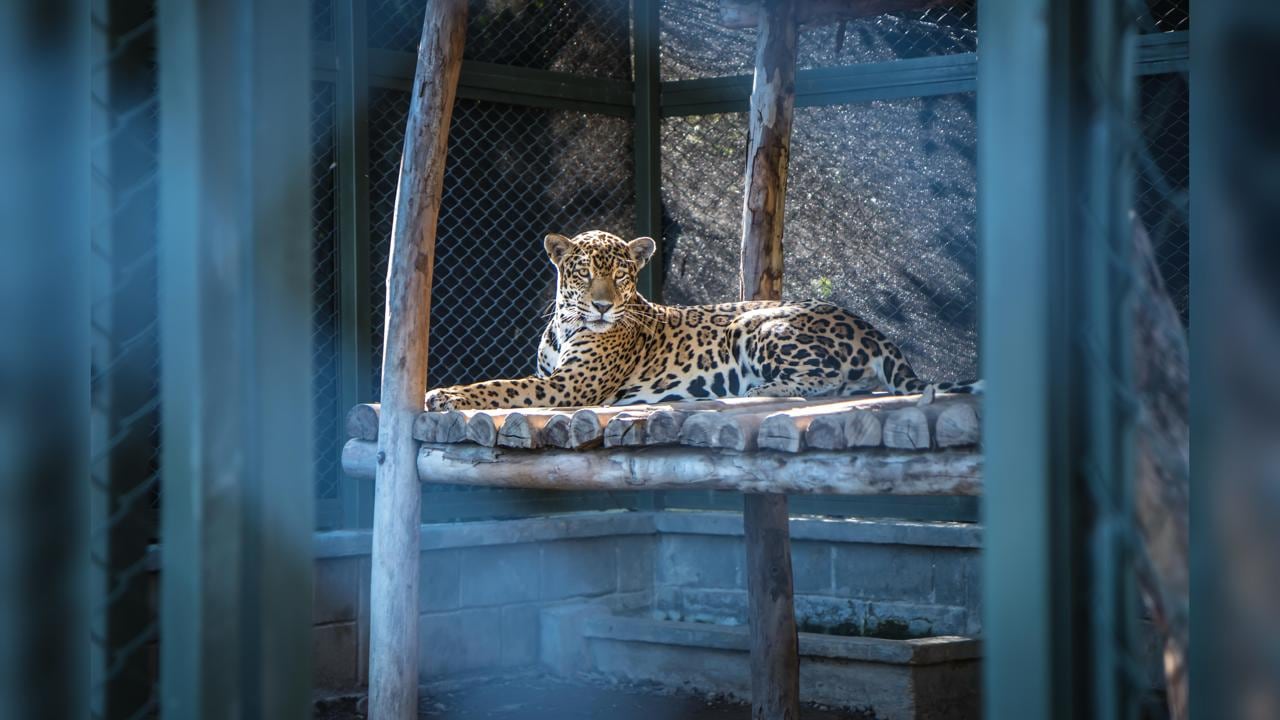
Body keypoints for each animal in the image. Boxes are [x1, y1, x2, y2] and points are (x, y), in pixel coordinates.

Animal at [424, 230, 982, 411]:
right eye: (584, 273)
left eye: (621, 275)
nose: (602, 306)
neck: (565, 325)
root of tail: (870, 326)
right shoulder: (553, 377)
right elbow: (507, 381)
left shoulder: (569, 387)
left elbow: (499, 387)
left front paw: (446, 394)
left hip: (759, 323)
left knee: (832, 383)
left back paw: (754, 392)